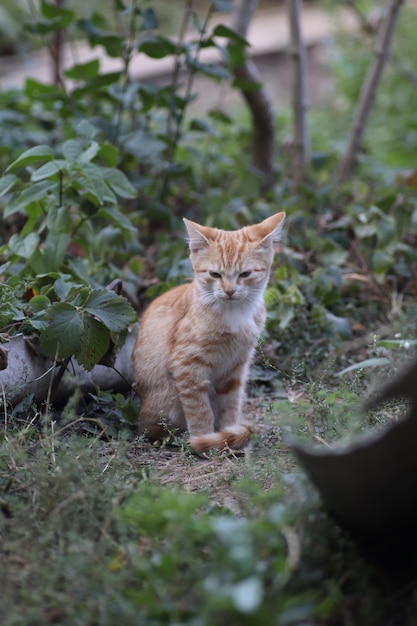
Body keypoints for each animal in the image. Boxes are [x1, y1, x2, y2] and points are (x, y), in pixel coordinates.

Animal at [132, 211, 284, 454]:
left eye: (245, 274)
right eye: (215, 274)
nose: (229, 291)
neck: (235, 313)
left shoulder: (236, 366)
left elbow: (231, 403)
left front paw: (228, 433)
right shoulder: (187, 365)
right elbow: (199, 409)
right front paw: (203, 439)